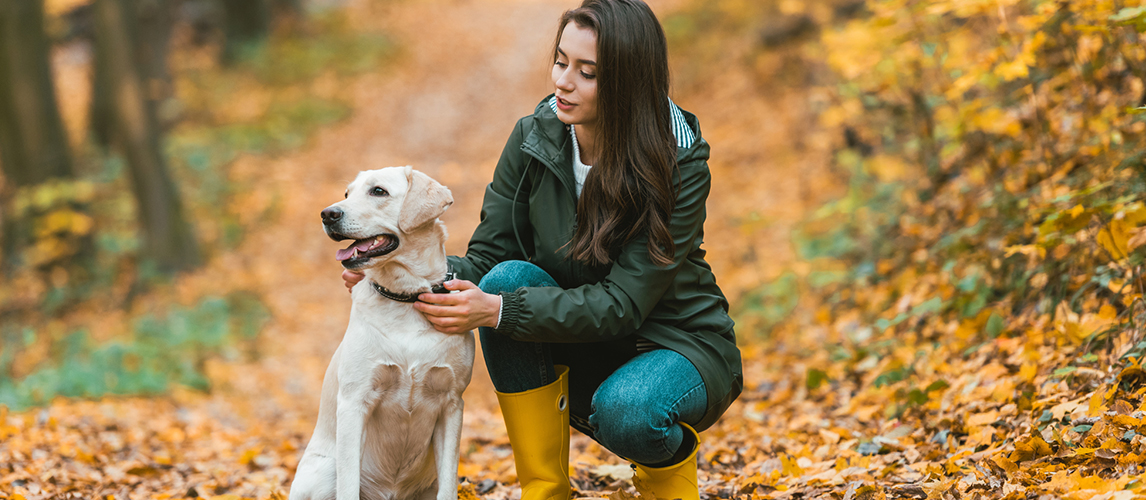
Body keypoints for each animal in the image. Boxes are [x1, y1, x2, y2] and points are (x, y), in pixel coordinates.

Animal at [295, 167, 479, 499]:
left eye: (378, 191)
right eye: (347, 193)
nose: (327, 214)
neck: (404, 297)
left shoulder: (452, 403)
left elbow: (448, 485)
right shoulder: (354, 402)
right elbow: (349, 486)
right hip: (325, 469)